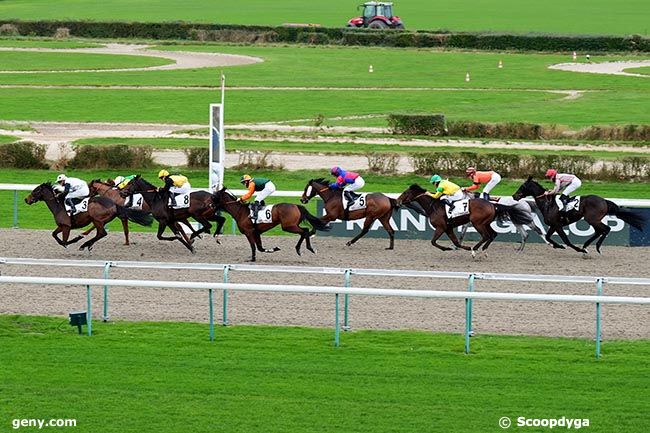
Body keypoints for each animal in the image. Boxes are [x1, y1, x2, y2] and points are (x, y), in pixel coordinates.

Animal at [24, 181, 153, 250]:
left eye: (36, 190)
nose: (26, 199)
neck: (58, 206)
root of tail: (114, 204)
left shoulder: (66, 226)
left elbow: (64, 241)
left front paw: (77, 238)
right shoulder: (61, 226)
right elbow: (54, 235)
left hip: (97, 219)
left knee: (102, 233)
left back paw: (85, 244)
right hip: (101, 220)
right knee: (99, 233)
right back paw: (88, 244)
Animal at [394, 183, 532, 256]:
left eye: (405, 193)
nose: (397, 201)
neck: (434, 206)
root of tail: (493, 205)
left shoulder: (440, 227)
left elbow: (433, 241)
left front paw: (449, 248)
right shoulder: (448, 228)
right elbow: (456, 242)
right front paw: (454, 247)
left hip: (477, 223)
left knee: (486, 236)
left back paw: (475, 249)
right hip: (485, 223)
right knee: (493, 234)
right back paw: (483, 250)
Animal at [512, 177, 644, 255]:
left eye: (522, 186)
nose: (514, 196)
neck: (548, 204)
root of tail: (604, 201)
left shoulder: (557, 225)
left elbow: (566, 240)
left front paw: (575, 248)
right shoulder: (553, 225)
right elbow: (549, 237)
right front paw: (558, 246)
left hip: (592, 219)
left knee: (606, 229)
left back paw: (595, 247)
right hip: (592, 220)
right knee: (599, 231)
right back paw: (586, 246)